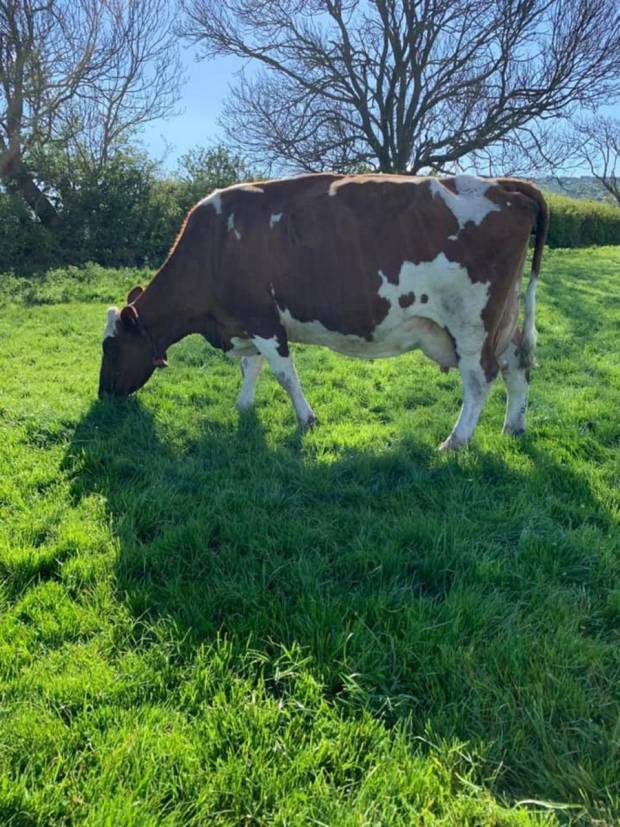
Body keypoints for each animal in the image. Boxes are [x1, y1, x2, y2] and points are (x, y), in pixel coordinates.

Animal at [99, 171, 548, 450]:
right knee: (517, 368)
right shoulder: (248, 322)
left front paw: (307, 419)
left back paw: (455, 442)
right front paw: (243, 407)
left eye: (110, 348)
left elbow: (284, 374)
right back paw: (514, 427)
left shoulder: (263, 321)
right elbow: (251, 368)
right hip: (504, 320)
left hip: (471, 323)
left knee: (479, 378)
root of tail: (502, 185)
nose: (103, 395)